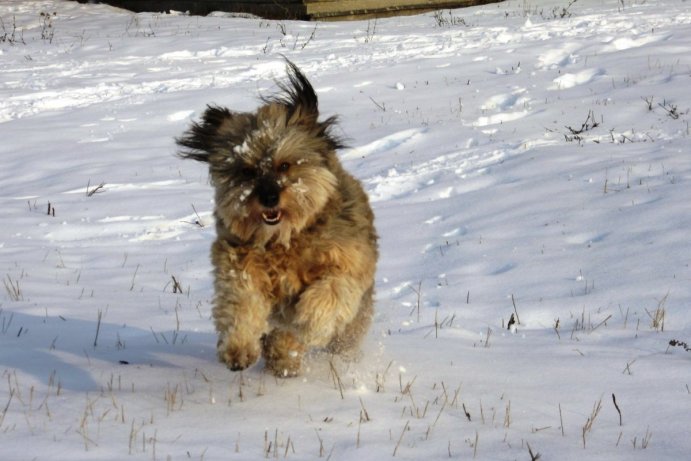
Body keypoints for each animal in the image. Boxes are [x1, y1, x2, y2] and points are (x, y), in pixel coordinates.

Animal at [174, 60, 378, 378]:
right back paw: (282, 359)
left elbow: (331, 291)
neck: (285, 240)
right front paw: (239, 349)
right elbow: (242, 302)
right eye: (246, 171)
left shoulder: (348, 262)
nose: (269, 198)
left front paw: (310, 322)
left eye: (284, 165)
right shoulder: (238, 264)